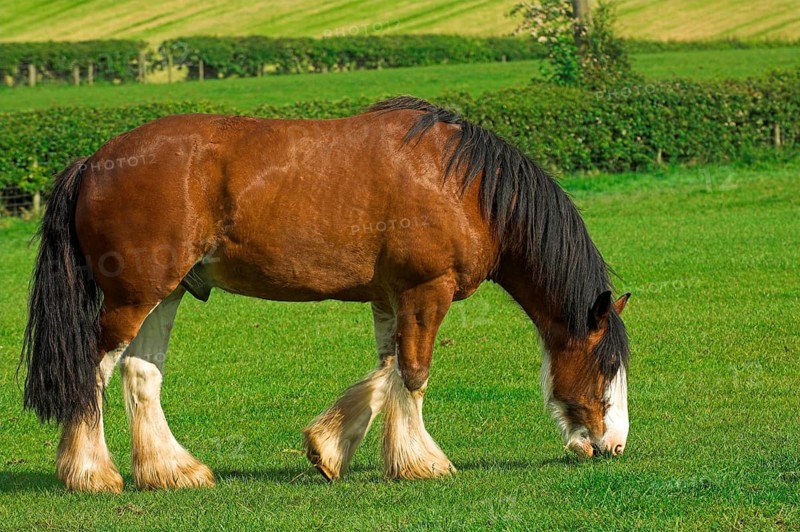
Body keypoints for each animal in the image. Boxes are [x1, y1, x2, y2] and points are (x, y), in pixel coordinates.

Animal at [20, 96, 631, 493]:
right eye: (605, 367)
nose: (615, 444)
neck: (464, 187)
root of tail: (94, 162)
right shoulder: (425, 291)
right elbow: (413, 373)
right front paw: (422, 462)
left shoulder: (390, 296)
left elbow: (386, 371)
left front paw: (330, 449)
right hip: (133, 296)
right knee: (92, 369)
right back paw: (91, 474)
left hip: (163, 293)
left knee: (141, 374)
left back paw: (173, 471)